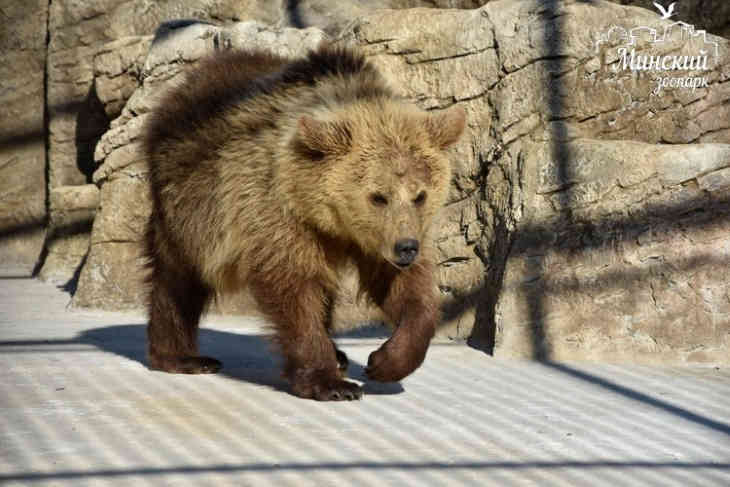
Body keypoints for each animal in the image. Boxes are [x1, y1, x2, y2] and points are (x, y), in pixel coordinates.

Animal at [142, 44, 466, 400]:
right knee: (179, 277)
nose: (406, 248)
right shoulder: (275, 208)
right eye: (378, 196)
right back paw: (183, 357)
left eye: (420, 195)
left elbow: (405, 291)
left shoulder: (380, 237)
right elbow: (295, 289)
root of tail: (183, 86)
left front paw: (384, 361)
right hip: (190, 202)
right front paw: (332, 383)